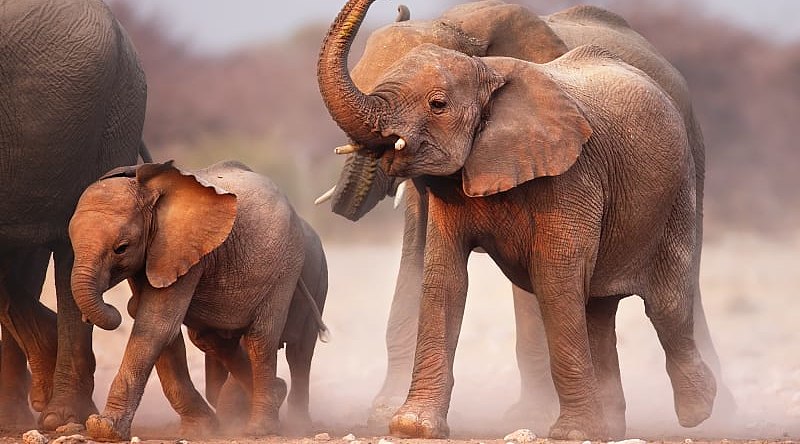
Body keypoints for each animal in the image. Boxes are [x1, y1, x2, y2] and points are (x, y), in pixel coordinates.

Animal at [67, 160, 329, 441]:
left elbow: (156, 326)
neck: (152, 191)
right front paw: (200, 429)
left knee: (267, 341)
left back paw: (265, 428)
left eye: (122, 248)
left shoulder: (183, 249)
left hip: (286, 266)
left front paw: (104, 429)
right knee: (209, 338)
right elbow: (162, 332)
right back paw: (276, 394)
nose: (115, 308)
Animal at [315, 0, 728, 430]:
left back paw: (707, 412)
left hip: (686, 158)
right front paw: (396, 419)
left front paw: (535, 418)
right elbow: (430, 268)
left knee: (671, 289)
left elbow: (546, 279)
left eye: (437, 104)